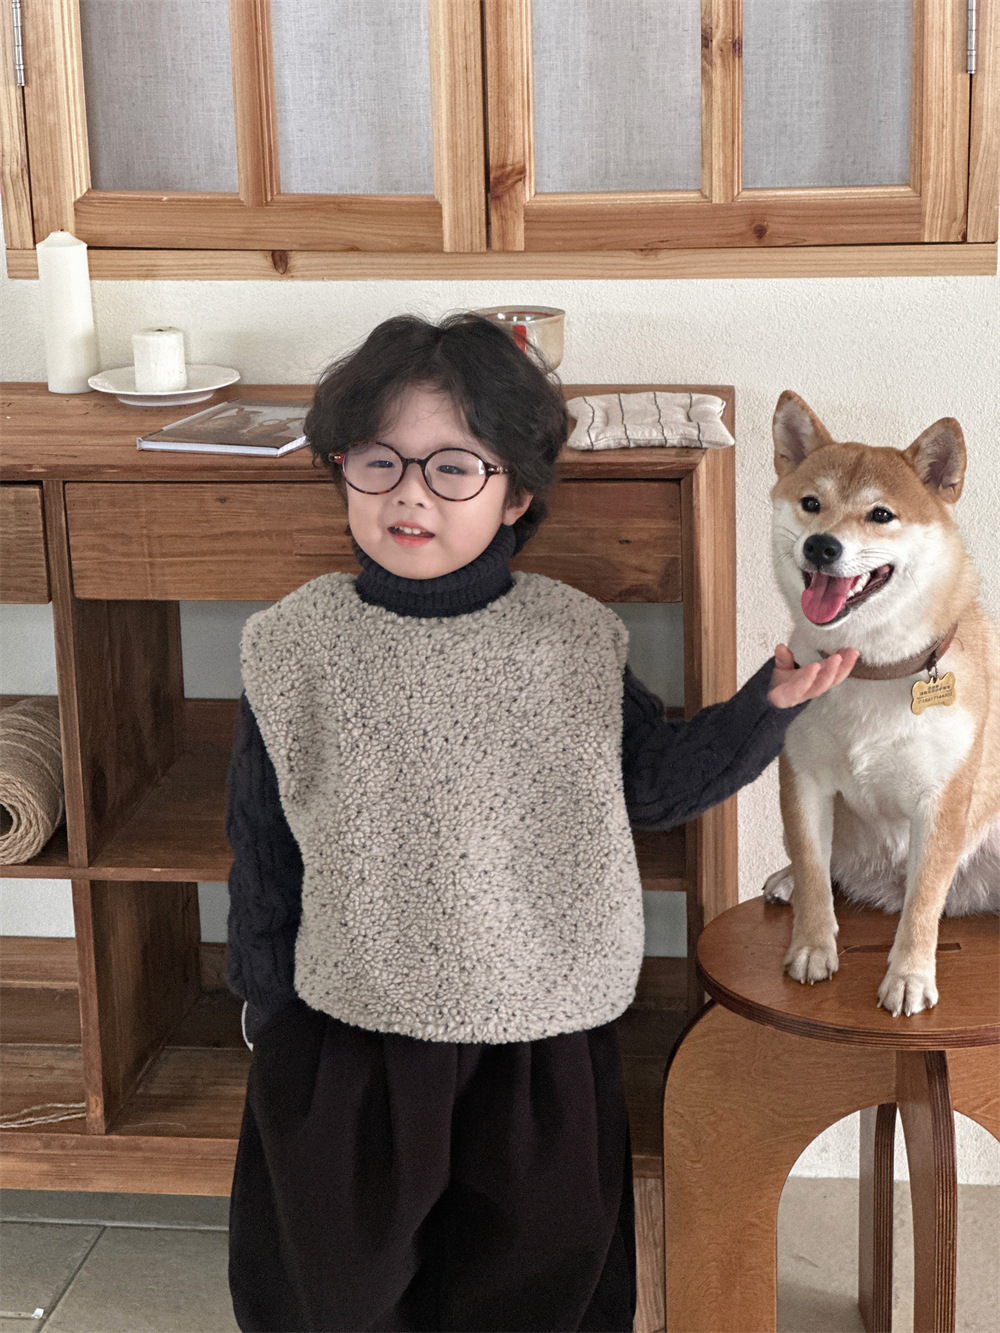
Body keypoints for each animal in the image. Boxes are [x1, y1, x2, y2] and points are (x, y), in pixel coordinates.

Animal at [763, 391, 999, 1016]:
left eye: (881, 515)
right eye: (812, 504)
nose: (821, 545)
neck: (869, 669)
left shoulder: (940, 801)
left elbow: (922, 904)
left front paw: (909, 976)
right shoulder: (804, 779)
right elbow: (813, 870)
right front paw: (812, 947)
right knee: (822, 865)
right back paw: (788, 880)